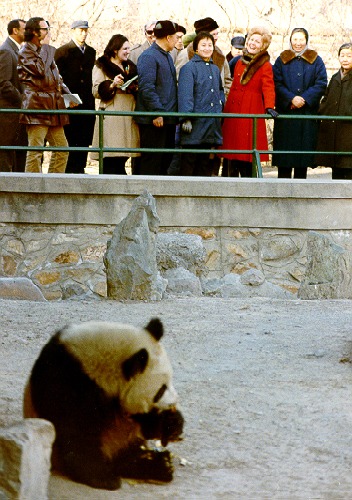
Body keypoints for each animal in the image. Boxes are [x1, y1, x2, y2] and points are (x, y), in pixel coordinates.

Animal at [22, 318, 184, 490]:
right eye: (161, 390)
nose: (174, 402)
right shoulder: (66, 380)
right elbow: (76, 432)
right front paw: (103, 477)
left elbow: (146, 424)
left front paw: (171, 424)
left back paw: (159, 465)